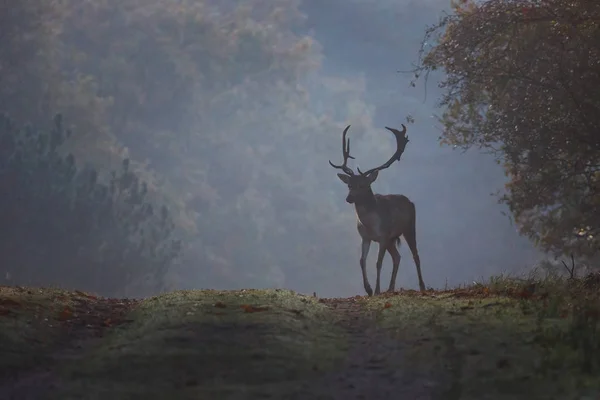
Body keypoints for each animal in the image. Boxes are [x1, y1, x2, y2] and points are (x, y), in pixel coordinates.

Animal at [328, 125, 426, 296]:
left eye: (363, 185)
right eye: (349, 185)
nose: (349, 198)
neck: (371, 225)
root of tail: (410, 201)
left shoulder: (383, 236)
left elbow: (378, 262)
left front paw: (376, 290)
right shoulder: (365, 237)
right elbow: (362, 261)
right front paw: (368, 289)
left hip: (408, 227)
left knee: (415, 255)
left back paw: (422, 287)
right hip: (392, 239)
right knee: (397, 257)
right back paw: (391, 288)